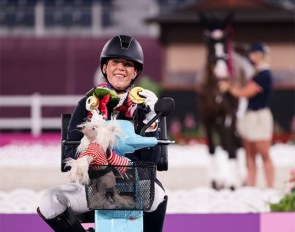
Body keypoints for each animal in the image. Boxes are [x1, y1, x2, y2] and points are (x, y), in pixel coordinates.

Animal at [199, 12, 254, 189]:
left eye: (224, 42)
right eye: (208, 41)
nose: (222, 73)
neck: (215, 86)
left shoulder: (229, 115)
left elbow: (230, 148)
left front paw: (231, 182)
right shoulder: (207, 116)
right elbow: (211, 147)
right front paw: (215, 182)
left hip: (237, 119)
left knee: (235, 144)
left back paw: (239, 178)